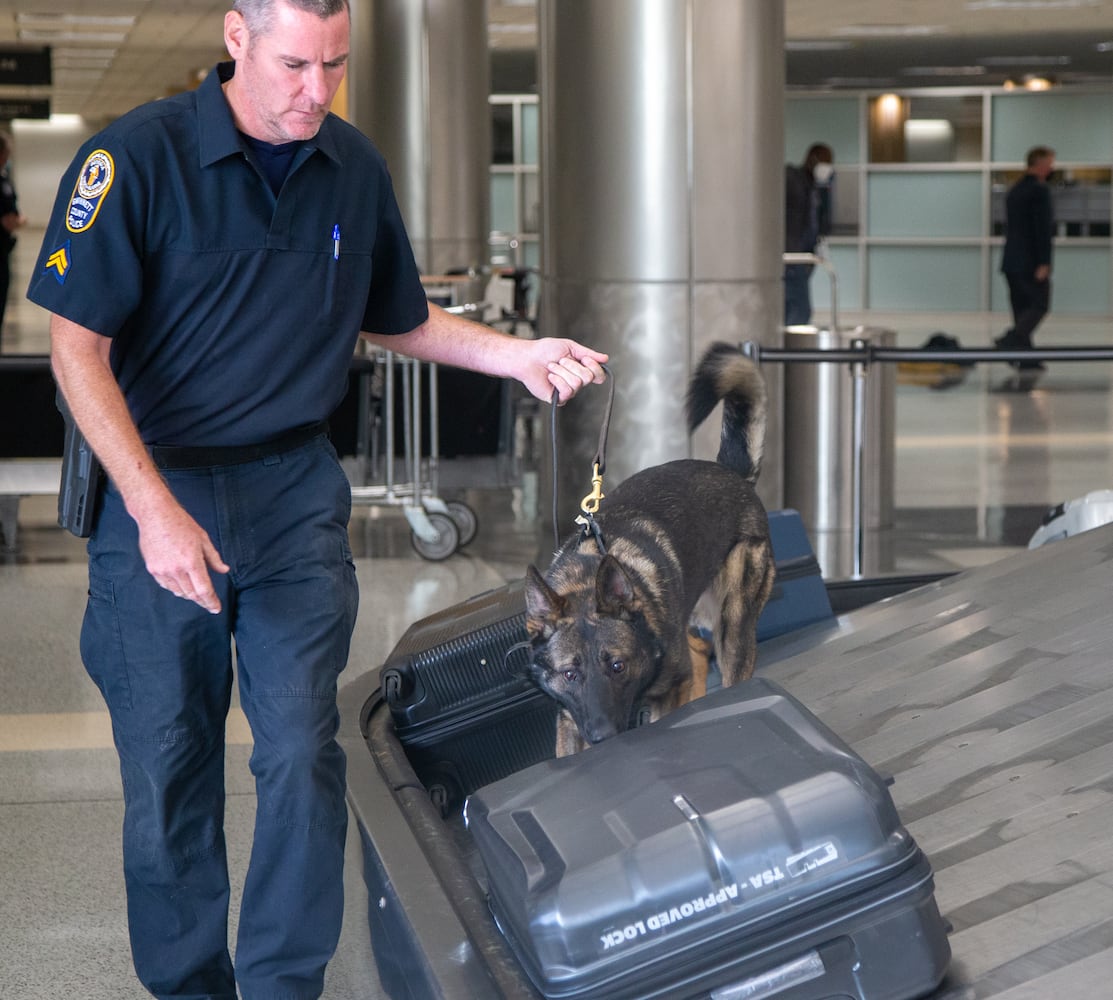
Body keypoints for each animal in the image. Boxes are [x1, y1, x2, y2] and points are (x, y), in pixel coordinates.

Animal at [523, 338, 774, 752]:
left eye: (617, 666)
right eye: (570, 675)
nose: (603, 737)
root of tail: (731, 473)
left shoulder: (668, 690)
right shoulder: (569, 719)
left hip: (733, 627)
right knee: (699, 655)